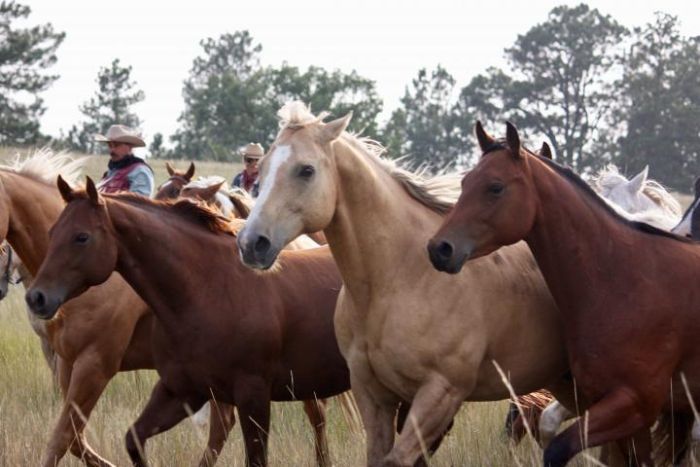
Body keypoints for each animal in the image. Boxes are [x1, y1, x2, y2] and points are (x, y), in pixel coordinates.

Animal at [0, 152, 235, 466]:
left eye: (82, 237)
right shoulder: (66, 364)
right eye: (52, 232)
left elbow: (61, 439)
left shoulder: (95, 366)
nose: (37, 299)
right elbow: (75, 440)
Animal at [26, 179, 356, 467]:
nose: (36, 298)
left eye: (81, 237)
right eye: (52, 231)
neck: (209, 289)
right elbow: (132, 439)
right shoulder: (181, 390)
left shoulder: (253, 395)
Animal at [235, 103, 580, 467]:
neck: (399, 279)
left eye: (306, 170)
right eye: (263, 168)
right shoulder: (373, 395)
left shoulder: (440, 394)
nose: (251, 243)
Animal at [426, 121, 700, 467]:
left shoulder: (634, 403)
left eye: (495, 187)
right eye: (464, 183)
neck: (627, 281)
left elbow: (558, 446)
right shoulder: (619, 409)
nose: (439, 248)